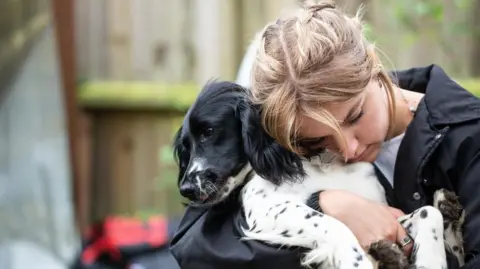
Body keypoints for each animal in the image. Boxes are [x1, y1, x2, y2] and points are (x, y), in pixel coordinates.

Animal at [173, 80, 464, 268]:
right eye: (185, 147)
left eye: (209, 132)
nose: (186, 189)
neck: (315, 163)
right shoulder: (266, 209)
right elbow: (334, 224)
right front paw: (357, 261)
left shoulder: (382, 209)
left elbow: (428, 213)